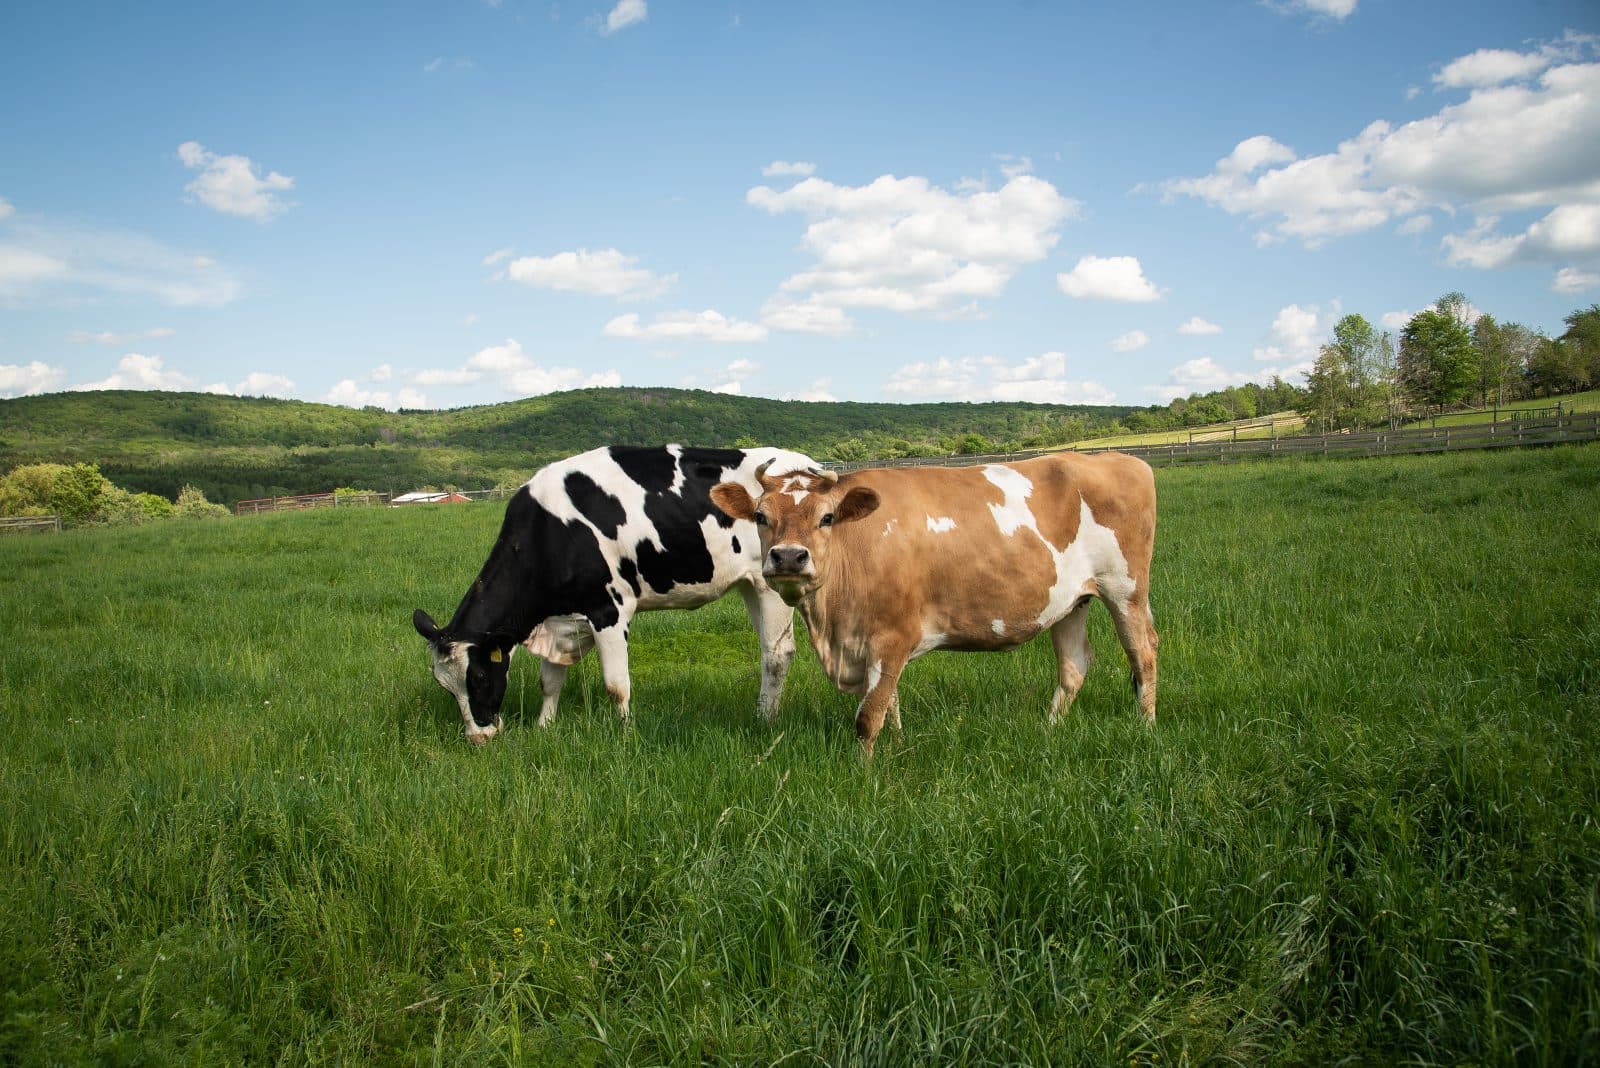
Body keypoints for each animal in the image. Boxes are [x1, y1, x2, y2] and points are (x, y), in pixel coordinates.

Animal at [413, 445, 819, 744]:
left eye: (480, 677)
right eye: (444, 686)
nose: (478, 738)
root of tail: (809, 466)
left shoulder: (609, 609)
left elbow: (615, 685)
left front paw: (624, 733)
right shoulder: (561, 619)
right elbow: (550, 681)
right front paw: (544, 727)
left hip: (772, 583)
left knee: (777, 653)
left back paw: (764, 719)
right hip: (750, 584)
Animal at [709, 453, 1159, 757]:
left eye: (827, 517)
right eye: (761, 517)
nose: (788, 557)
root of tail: (1120, 458)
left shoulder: (892, 636)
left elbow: (868, 716)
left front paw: (864, 772)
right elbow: (888, 702)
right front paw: (897, 746)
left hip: (1125, 588)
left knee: (1143, 653)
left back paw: (1146, 726)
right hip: (1070, 601)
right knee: (1074, 665)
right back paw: (1049, 729)